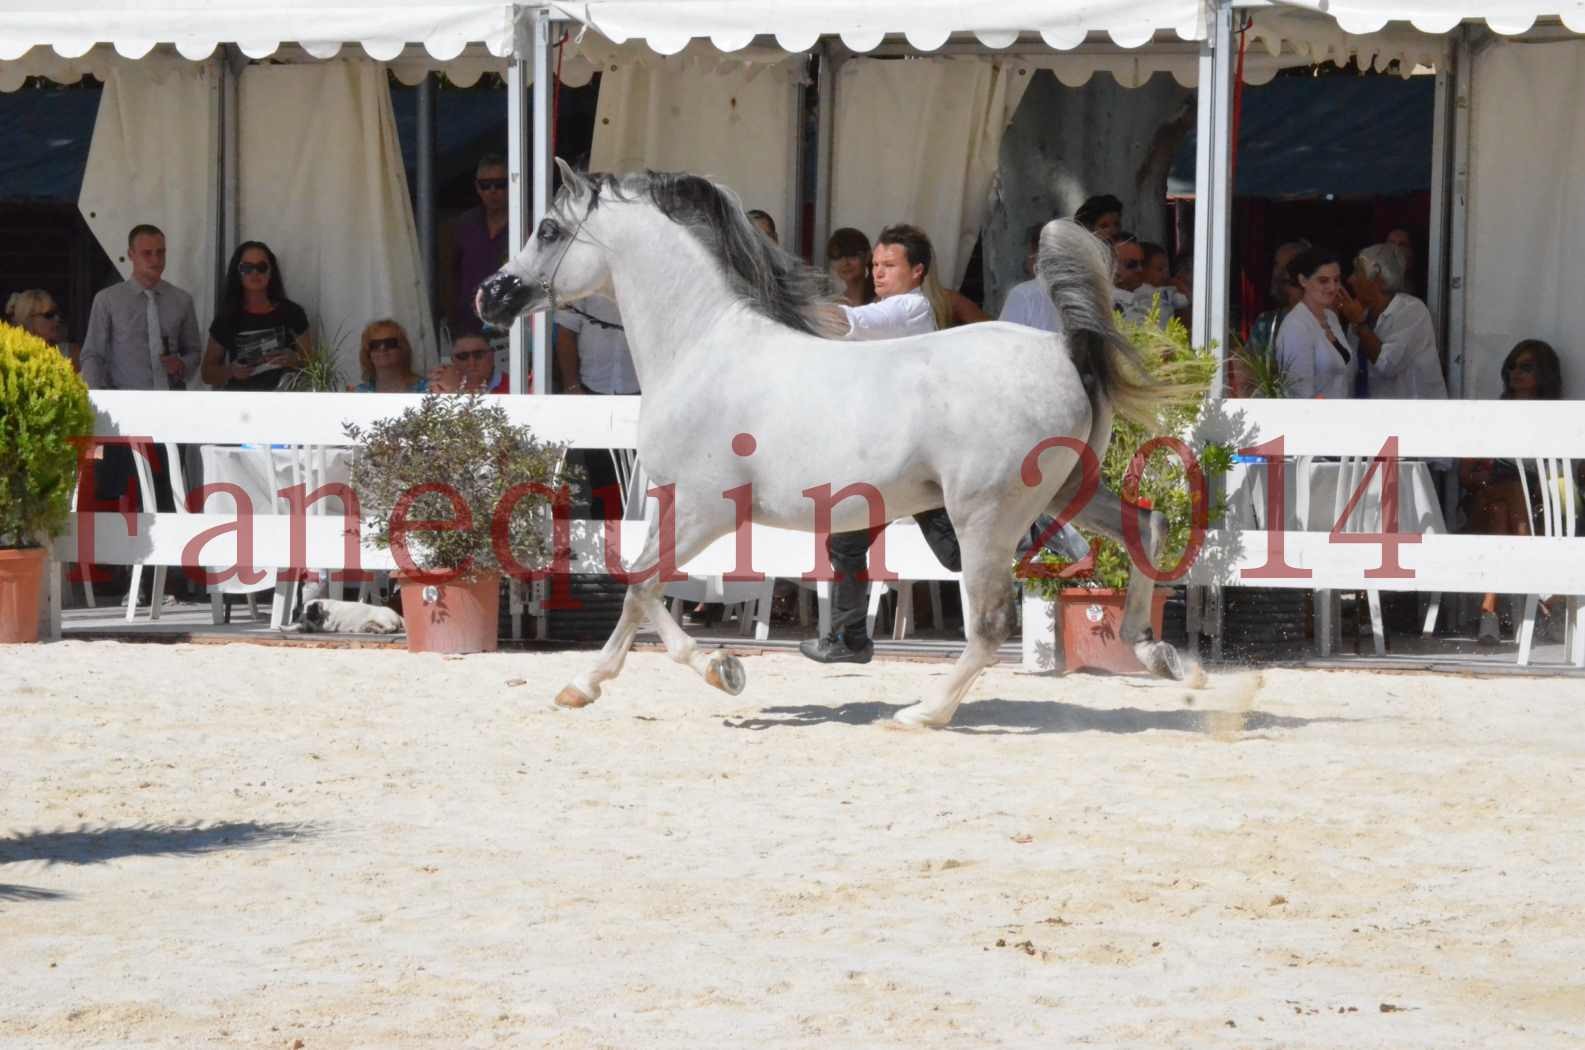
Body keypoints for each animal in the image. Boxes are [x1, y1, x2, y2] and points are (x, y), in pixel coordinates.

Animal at [481, 164, 1191, 729]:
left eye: (548, 229)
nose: (491, 296)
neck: (702, 347)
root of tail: (1064, 350)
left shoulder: (708, 509)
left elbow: (640, 586)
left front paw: (707, 672)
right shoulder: (681, 507)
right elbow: (643, 589)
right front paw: (610, 682)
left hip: (988, 517)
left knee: (991, 626)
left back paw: (924, 713)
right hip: (1069, 488)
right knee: (1145, 526)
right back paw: (1157, 652)